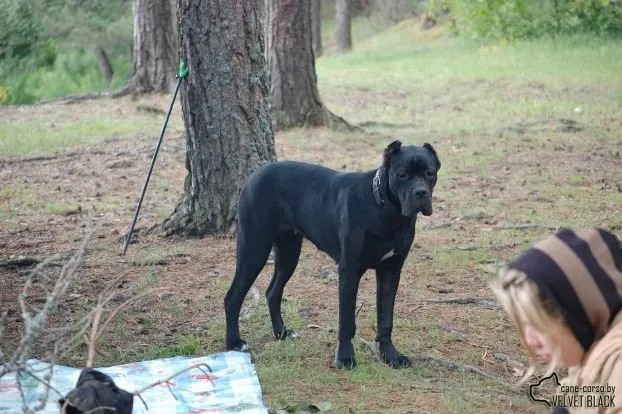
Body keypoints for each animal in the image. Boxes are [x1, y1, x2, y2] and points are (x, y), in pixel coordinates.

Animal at [227, 140, 442, 368]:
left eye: (430, 173)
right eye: (402, 175)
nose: (421, 193)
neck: (386, 210)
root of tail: (254, 175)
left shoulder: (390, 271)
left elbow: (386, 319)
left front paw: (391, 356)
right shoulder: (349, 271)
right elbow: (346, 321)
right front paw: (346, 358)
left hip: (288, 253)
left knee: (272, 292)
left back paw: (281, 333)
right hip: (254, 249)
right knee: (233, 296)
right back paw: (235, 343)